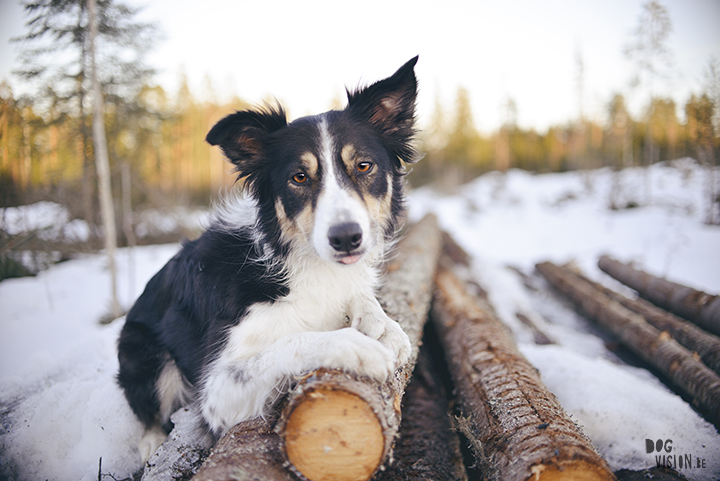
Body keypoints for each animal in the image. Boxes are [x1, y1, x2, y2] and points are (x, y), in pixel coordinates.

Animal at [119, 56, 422, 458]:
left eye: (363, 166)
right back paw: (152, 444)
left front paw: (384, 325)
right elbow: (290, 343)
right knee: (150, 413)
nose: (346, 238)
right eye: (299, 177)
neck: (301, 262)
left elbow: (363, 298)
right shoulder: (216, 389)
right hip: (143, 352)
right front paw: (353, 345)